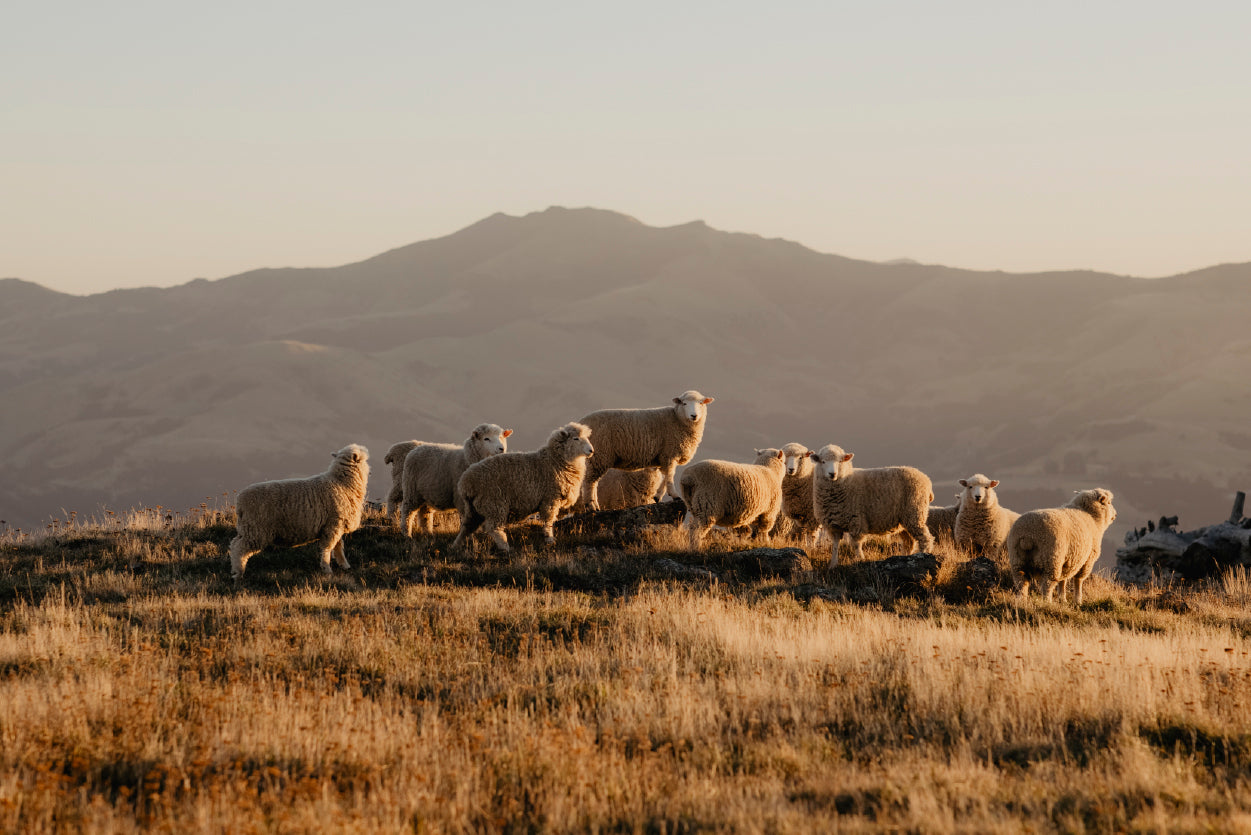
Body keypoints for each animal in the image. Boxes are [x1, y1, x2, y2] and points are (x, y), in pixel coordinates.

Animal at [228, 443, 367, 580]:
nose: (370, 473)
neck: (342, 483)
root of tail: (240, 500)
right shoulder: (333, 524)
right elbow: (328, 547)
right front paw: (327, 569)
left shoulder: (337, 524)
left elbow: (338, 546)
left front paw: (344, 565)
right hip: (256, 529)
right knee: (238, 548)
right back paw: (238, 572)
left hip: (247, 528)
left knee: (234, 544)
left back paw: (235, 570)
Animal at [455, 425, 595, 555]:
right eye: (575, 438)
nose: (591, 450)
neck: (555, 460)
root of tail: (466, 482)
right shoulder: (550, 498)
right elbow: (548, 521)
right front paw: (549, 539)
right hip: (494, 503)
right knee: (494, 528)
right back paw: (505, 547)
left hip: (474, 509)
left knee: (466, 527)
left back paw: (456, 545)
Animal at [575, 390, 715, 510]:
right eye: (684, 403)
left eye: (701, 403)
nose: (694, 416)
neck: (677, 419)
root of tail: (581, 424)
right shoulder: (670, 452)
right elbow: (670, 476)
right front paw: (675, 495)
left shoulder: (665, 455)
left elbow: (666, 476)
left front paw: (658, 496)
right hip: (599, 454)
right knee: (589, 482)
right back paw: (591, 506)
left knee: (593, 482)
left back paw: (596, 506)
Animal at [805, 443, 935, 568]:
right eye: (823, 461)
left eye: (840, 461)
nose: (832, 474)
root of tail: (926, 479)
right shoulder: (834, 525)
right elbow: (835, 545)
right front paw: (833, 564)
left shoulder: (856, 521)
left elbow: (856, 544)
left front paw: (859, 559)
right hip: (903, 520)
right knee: (909, 542)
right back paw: (905, 557)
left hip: (915, 512)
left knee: (925, 538)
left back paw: (923, 554)